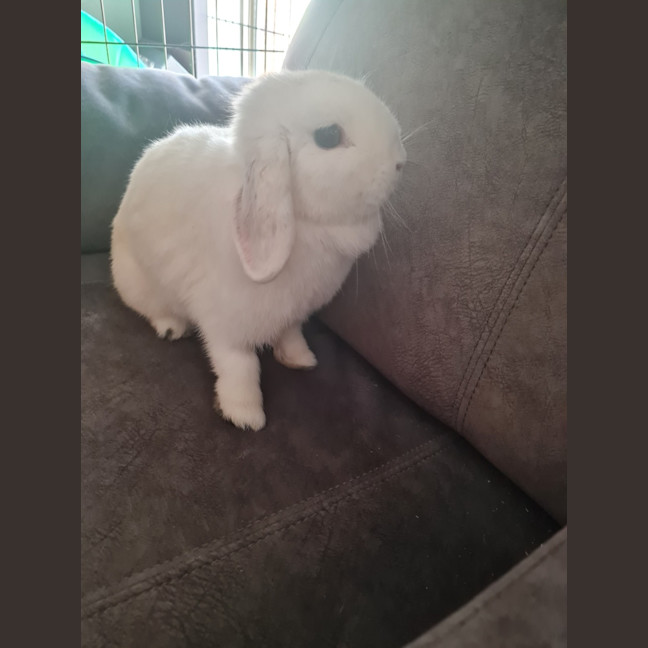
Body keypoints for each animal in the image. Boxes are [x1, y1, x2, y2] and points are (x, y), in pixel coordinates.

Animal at [111, 69, 406, 431]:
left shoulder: (293, 314)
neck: (304, 222)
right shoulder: (226, 324)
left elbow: (291, 335)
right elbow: (240, 366)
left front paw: (301, 360)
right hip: (138, 283)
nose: (401, 162)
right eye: (329, 135)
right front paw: (245, 415)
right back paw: (171, 329)